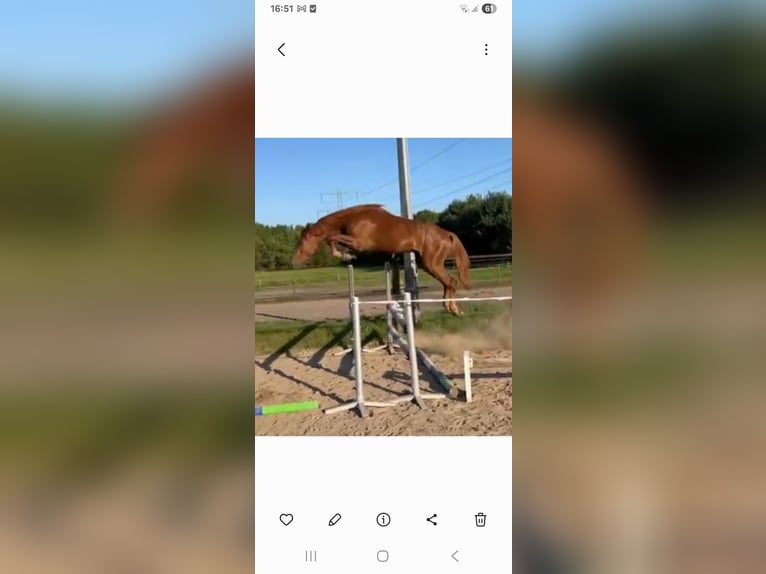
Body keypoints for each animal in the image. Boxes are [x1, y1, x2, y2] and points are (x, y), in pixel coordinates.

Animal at [291, 204, 472, 316]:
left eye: (302, 242)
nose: (293, 262)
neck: (353, 219)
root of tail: (447, 234)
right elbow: (334, 240)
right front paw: (345, 254)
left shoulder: (359, 243)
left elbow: (332, 238)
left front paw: (344, 255)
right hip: (428, 265)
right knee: (447, 282)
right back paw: (449, 308)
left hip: (432, 263)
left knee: (451, 281)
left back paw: (454, 309)